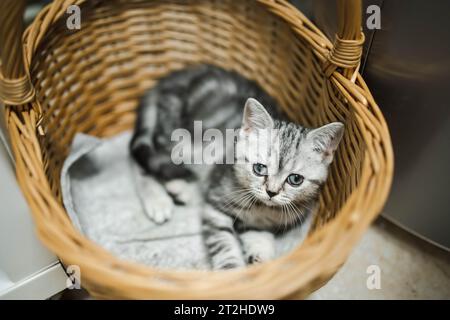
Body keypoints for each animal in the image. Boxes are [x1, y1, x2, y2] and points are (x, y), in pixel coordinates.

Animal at [130, 65, 344, 270]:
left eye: (295, 179)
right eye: (259, 168)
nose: (271, 192)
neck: (263, 208)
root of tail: (168, 78)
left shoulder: (260, 222)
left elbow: (258, 234)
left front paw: (261, 257)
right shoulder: (215, 205)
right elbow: (223, 243)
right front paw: (230, 268)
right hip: (174, 139)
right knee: (145, 162)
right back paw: (162, 200)